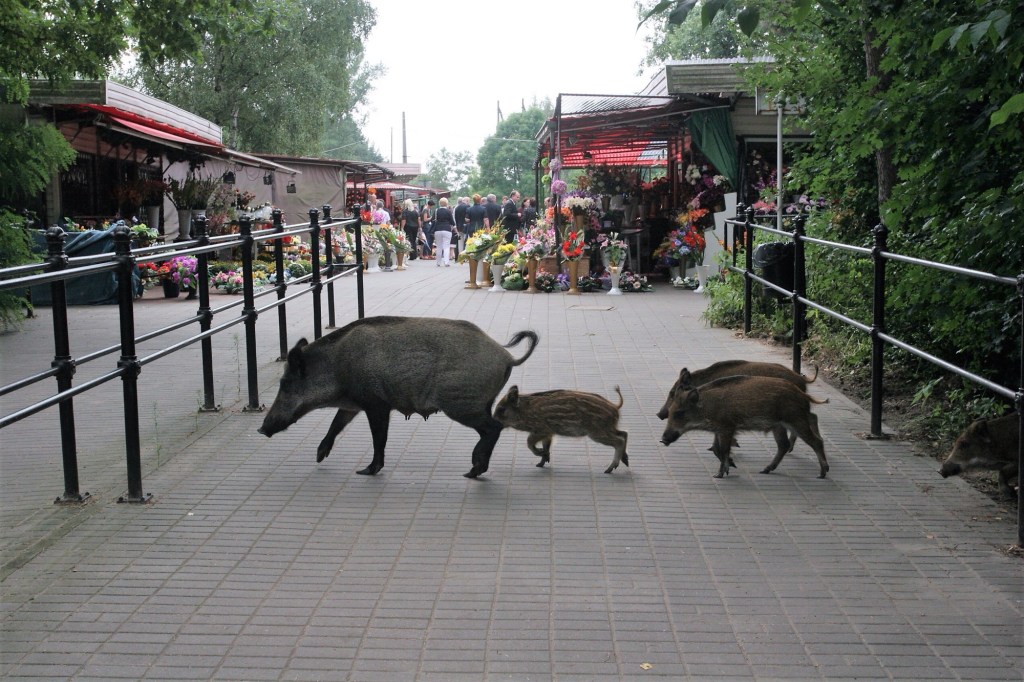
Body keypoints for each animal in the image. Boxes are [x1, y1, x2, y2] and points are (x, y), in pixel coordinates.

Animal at [258, 316, 539, 479]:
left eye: (286, 383)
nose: (261, 429)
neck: (337, 367)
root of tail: (506, 356)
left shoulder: (376, 404)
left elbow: (379, 437)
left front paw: (365, 471)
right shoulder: (354, 404)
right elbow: (337, 424)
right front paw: (318, 456)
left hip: (462, 404)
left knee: (493, 428)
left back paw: (471, 472)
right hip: (479, 403)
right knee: (490, 429)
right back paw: (473, 469)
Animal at [493, 385, 629, 474]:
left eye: (501, 409)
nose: (492, 420)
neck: (524, 412)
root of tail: (615, 407)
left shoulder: (541, 429)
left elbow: (529, 443)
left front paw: (541, 454)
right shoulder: (548, 433)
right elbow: (546, 445)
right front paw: (541, 462)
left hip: (597, 432)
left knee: (619, 441)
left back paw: (609, 469)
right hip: (607, 429)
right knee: (624, 433)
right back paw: (625, 460)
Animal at [660, 375, 830, 479]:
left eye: (680, 413)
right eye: (671, 412)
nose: (663, 439)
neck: (707, 407)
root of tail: (802, 393)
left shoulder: (727, 427)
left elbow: (723, 450)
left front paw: (719, 475)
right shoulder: (720, 430)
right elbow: (718, 449)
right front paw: (727, 469)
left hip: (796, 420)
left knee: (816, 441)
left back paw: (822, 474)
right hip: (778, 426)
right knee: (783, 445)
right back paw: (765, 470)